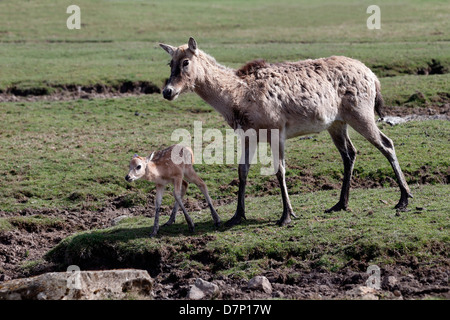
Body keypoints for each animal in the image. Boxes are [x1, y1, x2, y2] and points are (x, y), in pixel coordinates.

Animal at [158, 37, 412, 228]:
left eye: (186, 62)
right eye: (169, 63)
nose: (167, 91)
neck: (236, 100)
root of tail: (373, 77)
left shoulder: (277, 129)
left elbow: (279, 170)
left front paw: (287, 215)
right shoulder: (247, 134)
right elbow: (242, 171)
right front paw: (237, 216)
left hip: (361, 113)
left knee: (386, 143)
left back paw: (404, 199)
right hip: (337, 123)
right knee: (350, 153)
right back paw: (340, 204)